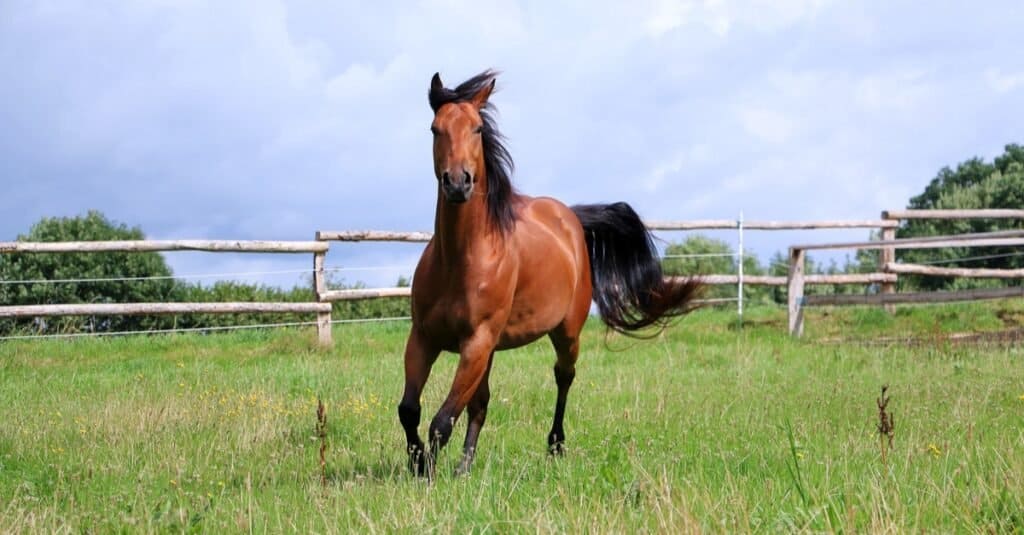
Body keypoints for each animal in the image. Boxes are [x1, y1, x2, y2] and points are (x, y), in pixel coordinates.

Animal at [395, 69, 700, 475]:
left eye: (477, 128)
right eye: (434, 129)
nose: (458, 182)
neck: (460, 260)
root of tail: (570, 216)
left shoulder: (476, 342)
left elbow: (442, 421)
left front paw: (427, 473)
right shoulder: (425, 338)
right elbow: (410, 410)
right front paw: (419, 464)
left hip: (566, 332)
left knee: (563, 376)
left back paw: (555, 445)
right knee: (480, 404)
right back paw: (465, 466)